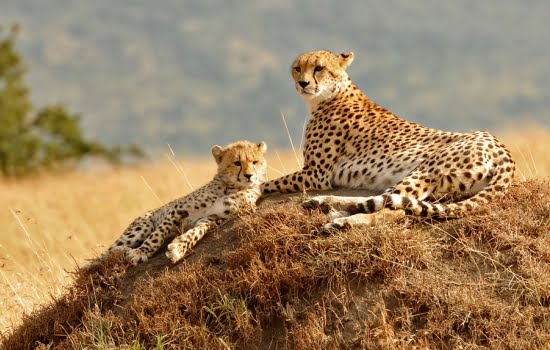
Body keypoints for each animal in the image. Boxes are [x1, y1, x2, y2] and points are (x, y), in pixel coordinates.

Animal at [94, 140, 270, 266]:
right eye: (237, 163)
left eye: (255, 162)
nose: (249, 176)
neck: (231, 187)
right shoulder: (177, 209)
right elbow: (157, 234)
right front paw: (142, 252)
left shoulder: (212, 218)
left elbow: (196, 232)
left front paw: (179, 247)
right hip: (140, 227)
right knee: (100, 257)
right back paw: (120, 250)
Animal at [260, 49, 516, 230]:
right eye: (297, 68)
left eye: (319, 68)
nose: (302, 83)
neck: (330, 95)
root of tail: (502, 147)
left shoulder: (315, 173)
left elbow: (266, 183)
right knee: (384, 199)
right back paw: (325, 204)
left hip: (424, 170)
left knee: (393, 208)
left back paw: (343, 220)